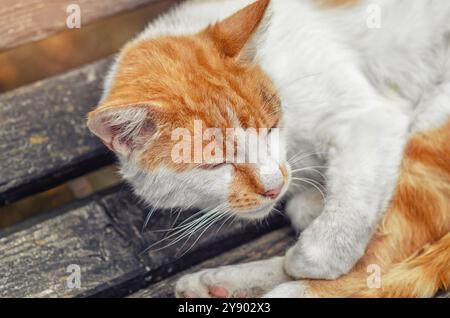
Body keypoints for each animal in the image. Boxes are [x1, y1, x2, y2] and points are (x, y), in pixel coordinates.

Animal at [86, 0, 448, 298]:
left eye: (270, 128)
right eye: (216, 163)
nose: (273, 186)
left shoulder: (367, 118)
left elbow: (348, 212)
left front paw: (312, 249)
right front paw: (310, 201)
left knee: (379, 262)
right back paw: (216, 284)